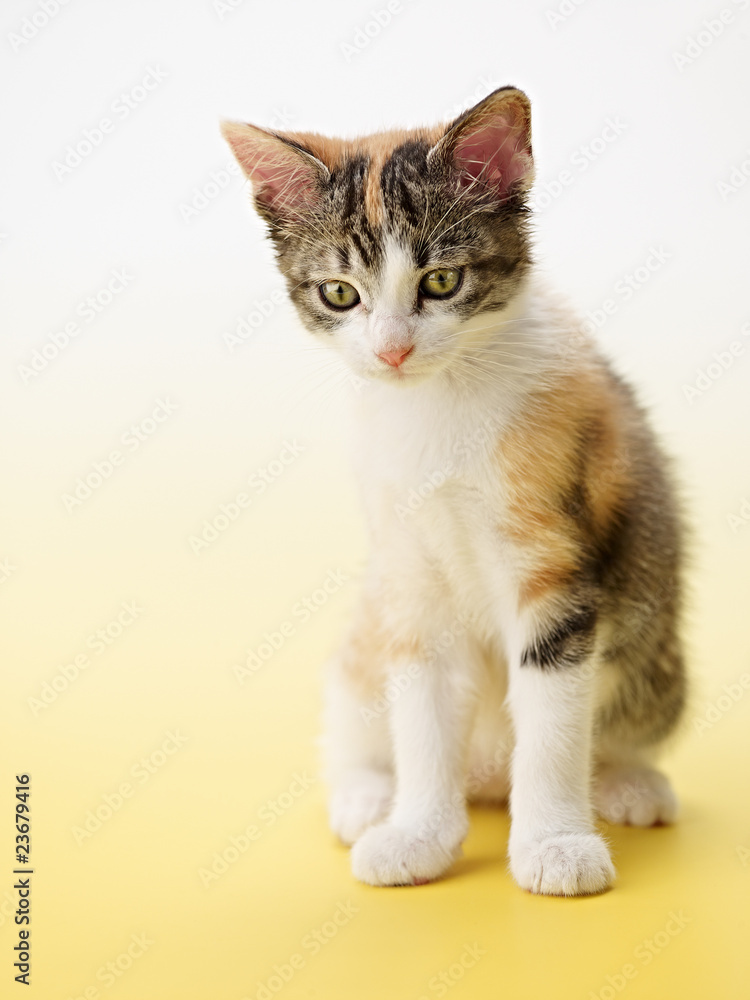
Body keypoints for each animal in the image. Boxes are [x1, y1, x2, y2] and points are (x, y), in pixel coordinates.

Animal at [222, 88, 688, 900]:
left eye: (441, 280)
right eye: (339, 294)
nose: (392, 350)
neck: (437, 405)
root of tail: (487, 776)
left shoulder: (555, 563)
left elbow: (553, 715)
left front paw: (556, 843)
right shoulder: (408, 576)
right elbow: (421, 712)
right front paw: (418, 835)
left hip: (656, 653)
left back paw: (626, 782)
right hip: (362, 642)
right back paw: (366, 795)